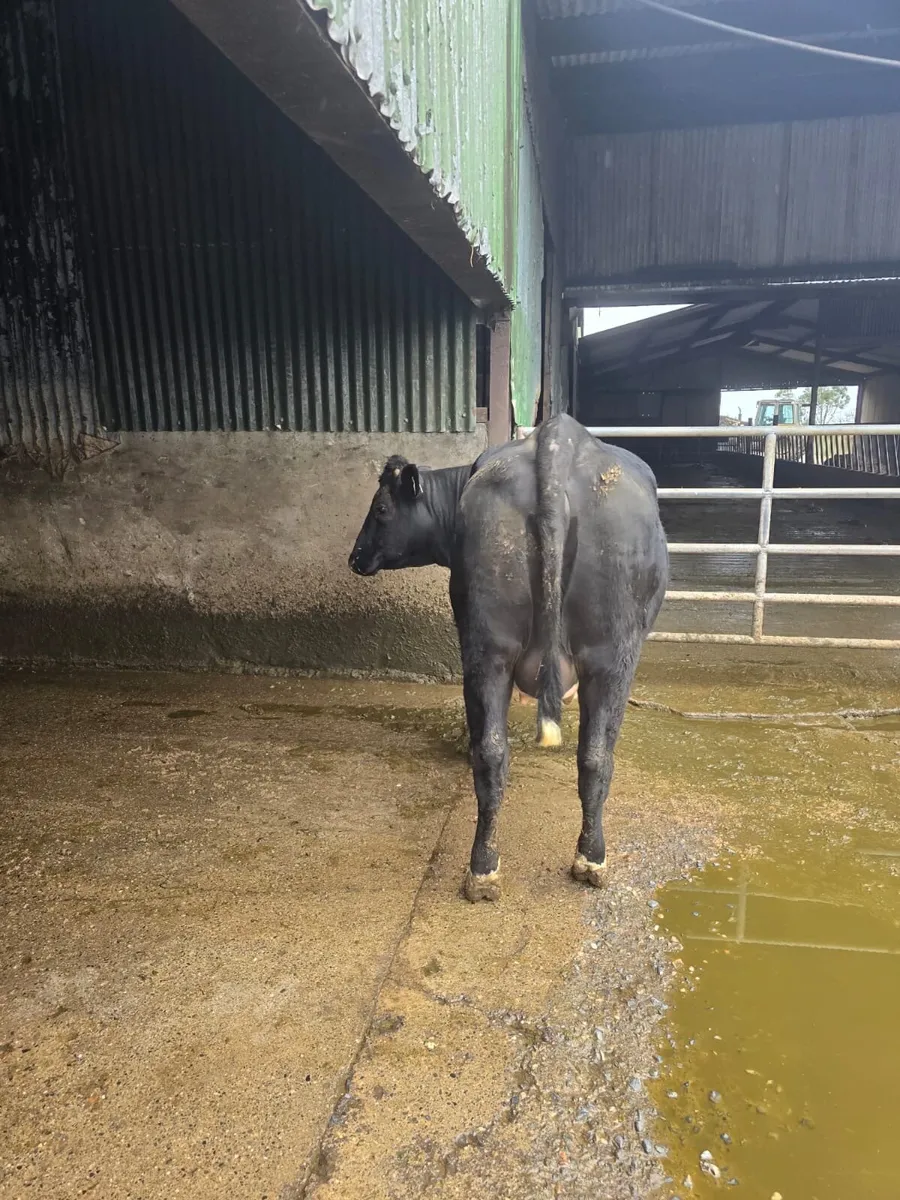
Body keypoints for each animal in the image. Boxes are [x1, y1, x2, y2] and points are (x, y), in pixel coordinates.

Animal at [349, 414, 668, 901]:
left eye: (381, 509)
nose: (354, 557)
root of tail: (558, 441)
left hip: (495, 648)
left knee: (499, 753)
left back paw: (487, 868)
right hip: (610, 654)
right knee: (593, 754)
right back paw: (587, 858)